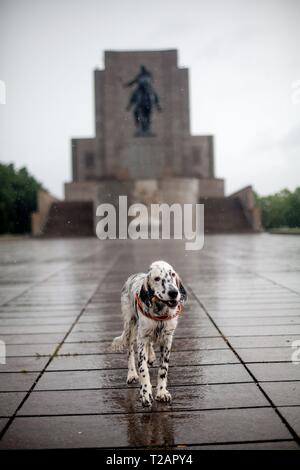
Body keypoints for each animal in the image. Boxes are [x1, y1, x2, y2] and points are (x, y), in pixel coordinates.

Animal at [111, 260, 186, 408]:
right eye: (157, 278)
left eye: (172, 274)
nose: (174, 293)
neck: (160, 311)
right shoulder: (142, 338)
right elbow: (143, 369)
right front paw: (145, 393)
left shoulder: (167, 339)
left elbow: (163, 369)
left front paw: (161, 393)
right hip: (130, 326)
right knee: (130, 351)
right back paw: (132, 374)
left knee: (150, 344)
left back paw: (151, 357)